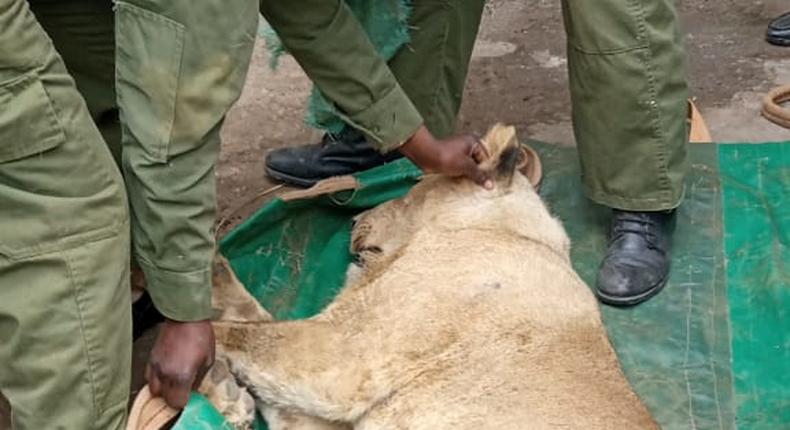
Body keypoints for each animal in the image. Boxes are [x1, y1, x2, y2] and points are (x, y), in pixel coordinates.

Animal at [206, 124, 664, 430]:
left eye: (409, 192)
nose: (354, 219)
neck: (506, 232)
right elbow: (250, 318)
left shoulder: (345, 357)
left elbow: (238, 332)